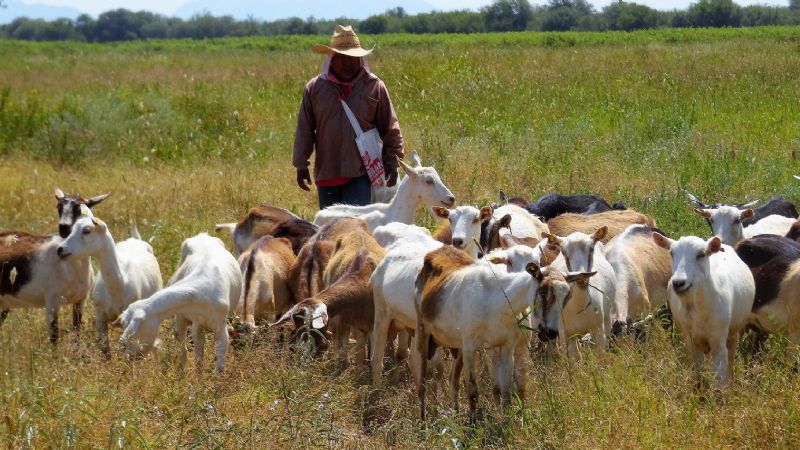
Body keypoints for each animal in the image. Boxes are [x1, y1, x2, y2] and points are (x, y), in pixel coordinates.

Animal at [57, 206, 162, 354]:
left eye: (87, 230)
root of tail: (136, 240)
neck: (117, 286)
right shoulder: (100, 317)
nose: (60, 249)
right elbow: (105, 351)